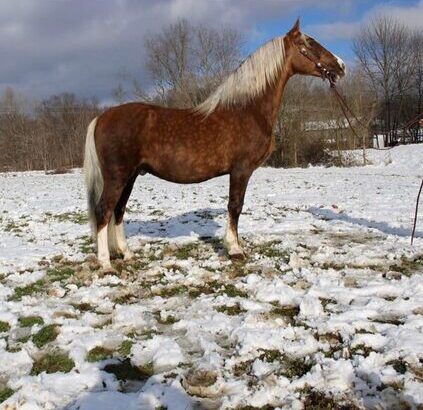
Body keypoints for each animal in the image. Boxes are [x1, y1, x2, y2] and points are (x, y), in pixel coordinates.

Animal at [83, 18, 344, 270]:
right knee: (104, 211)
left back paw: (126, 254)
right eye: (310, 42)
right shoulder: (241, 170)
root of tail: (101, 117)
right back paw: (106, 263)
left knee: (118, 211)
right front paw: (235, 249)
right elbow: (235, 206)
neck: (248, 110)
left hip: (130, 176)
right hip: (117, 177)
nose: (341, 66)